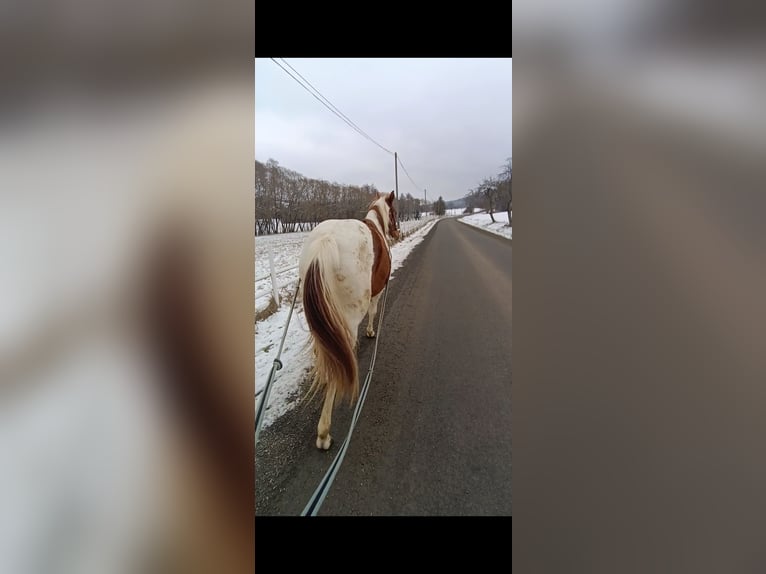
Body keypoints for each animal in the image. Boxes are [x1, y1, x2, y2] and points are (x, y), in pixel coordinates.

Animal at [298, 190, 400, 450]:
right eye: (394, 212)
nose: (397, 232)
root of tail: (326, 242)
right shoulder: (377, 293)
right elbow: (373, 312)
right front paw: (371, 332)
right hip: (348, 318)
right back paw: (324, 432)